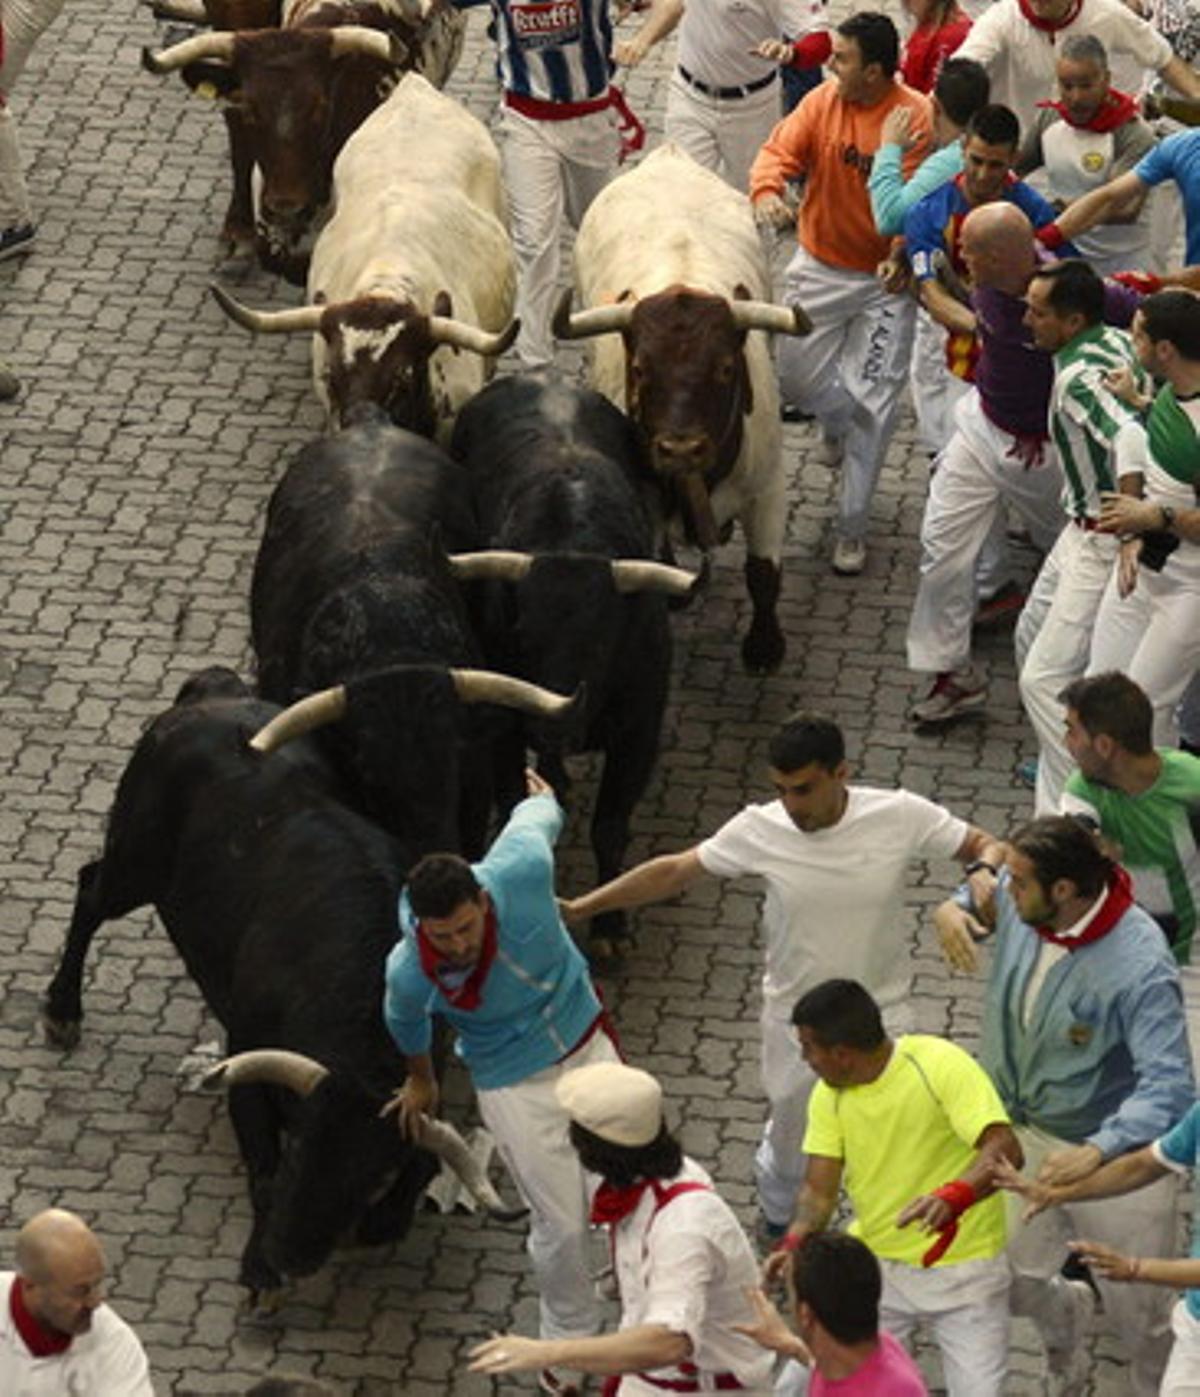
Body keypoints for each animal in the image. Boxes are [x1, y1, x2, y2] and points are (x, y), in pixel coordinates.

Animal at [558, 143, 810, 676]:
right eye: (639, 368)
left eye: (725, 368)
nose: (679, 448)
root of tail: (667, 154)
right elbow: (653, 563)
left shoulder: (769, 486)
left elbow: (763, 573)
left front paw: (764, 647)